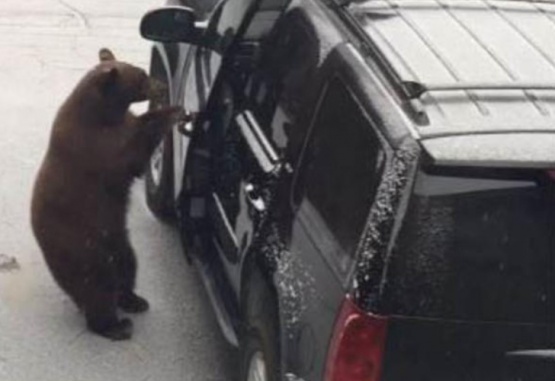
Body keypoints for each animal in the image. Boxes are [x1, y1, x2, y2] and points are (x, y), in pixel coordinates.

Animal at [31, 48, 182, 342]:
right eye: (142, 76)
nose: (161, 85)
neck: (102, 114)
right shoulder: (96, 145)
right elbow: (133, 153)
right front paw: (176, 112)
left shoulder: (121, 123)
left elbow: (139, 127)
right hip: (83, 248)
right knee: (98, 286)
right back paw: (115, 325)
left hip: (117, 239)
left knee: (127, 265)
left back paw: (134, 300)